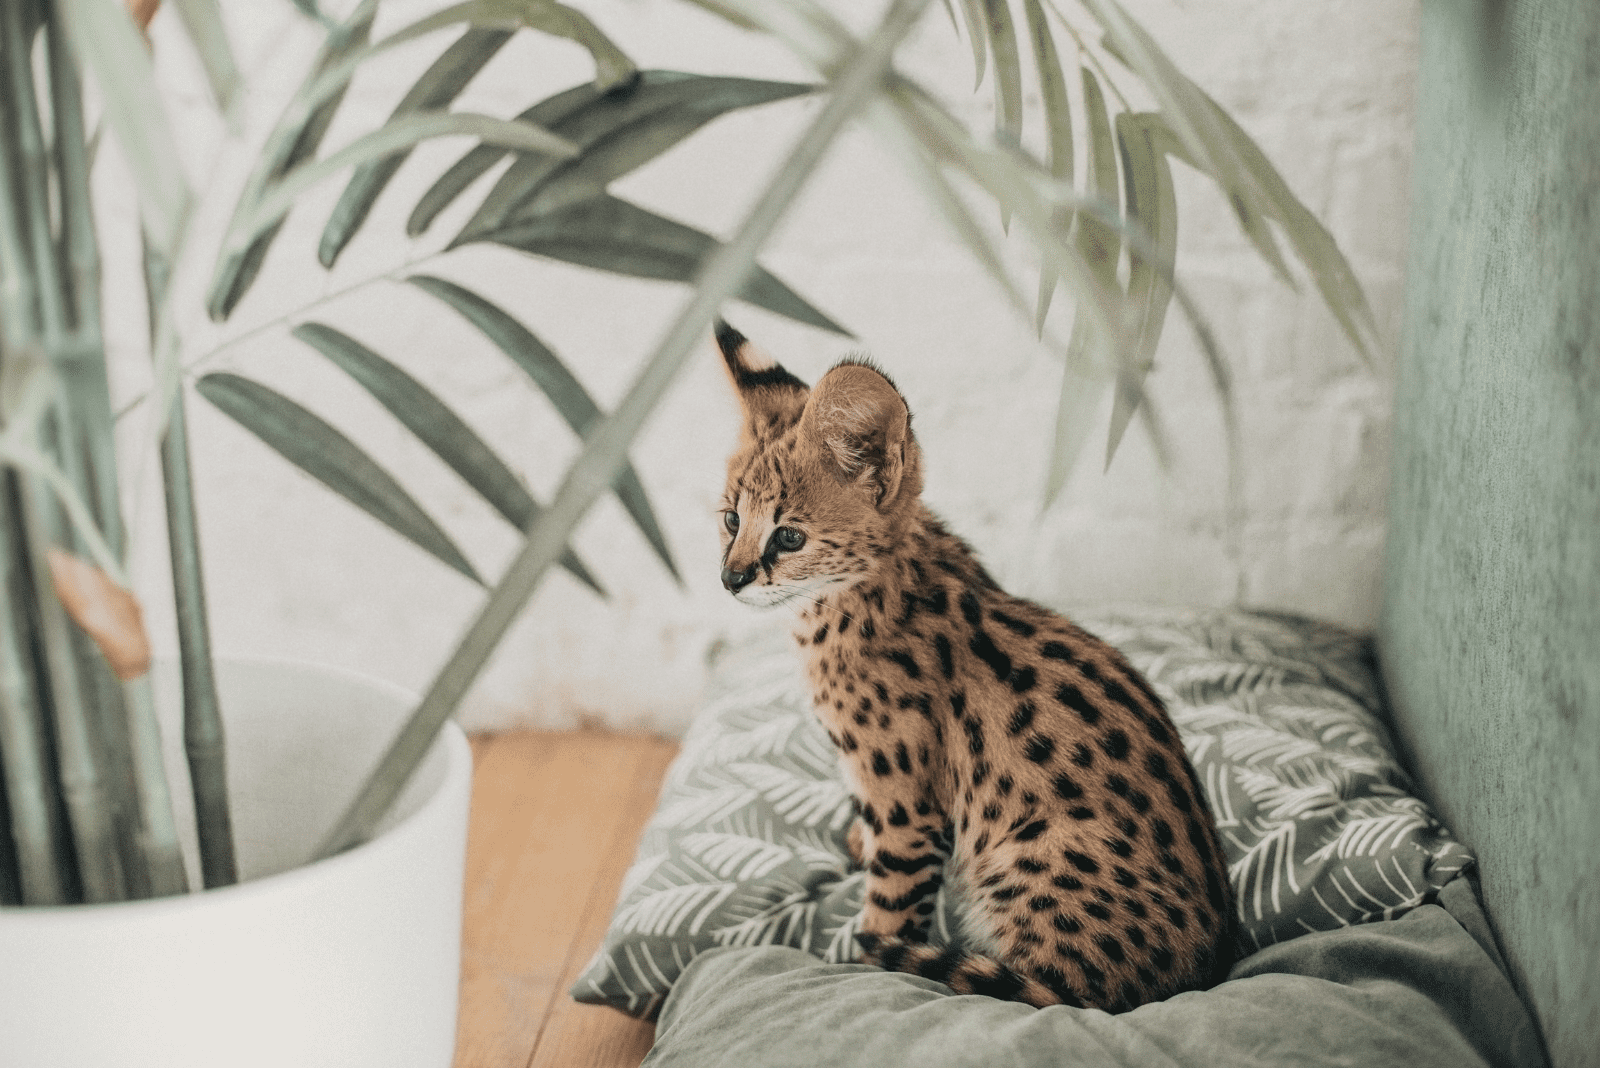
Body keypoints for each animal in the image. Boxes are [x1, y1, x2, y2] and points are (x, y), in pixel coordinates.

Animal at [716, 322, 1235, 1010]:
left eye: (789, 538)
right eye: (730, 520)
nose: (730, 579)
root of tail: (1210, 973)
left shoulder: (908, 806)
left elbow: (889, 911)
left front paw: (863, 964)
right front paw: (853, 846)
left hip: (1028, 855)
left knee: (1050, 996)